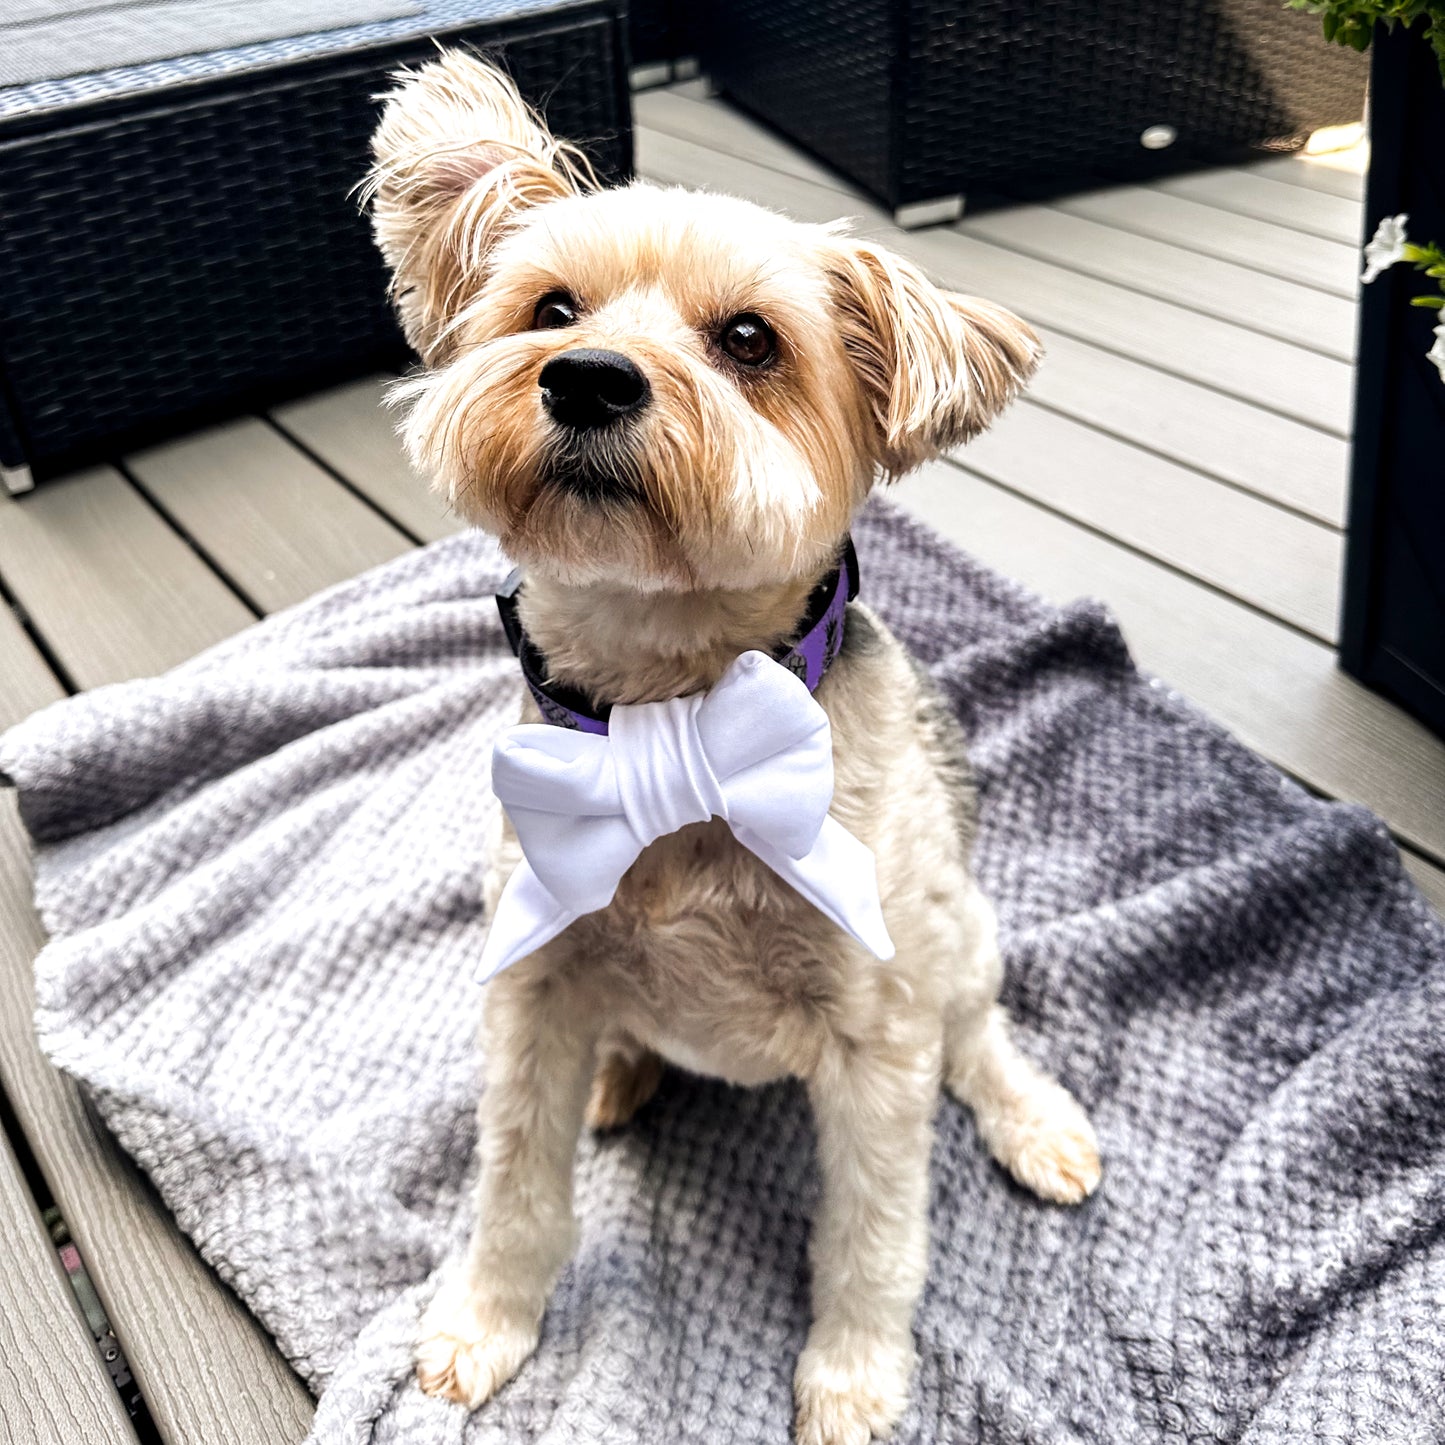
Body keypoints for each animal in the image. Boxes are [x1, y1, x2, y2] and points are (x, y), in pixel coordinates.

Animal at [367, 56, 1098, 1445]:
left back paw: (1034, 1121)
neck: (668, 707)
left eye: (749, 340)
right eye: (549, 307)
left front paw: (853, 1377)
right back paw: (621, 1067)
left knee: (979, 1032)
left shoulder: (876, 1038)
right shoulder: (528, 983)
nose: (586, 376)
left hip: (961, 932)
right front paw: (483, 1326)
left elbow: (872, 1234)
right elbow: (514, 1185)